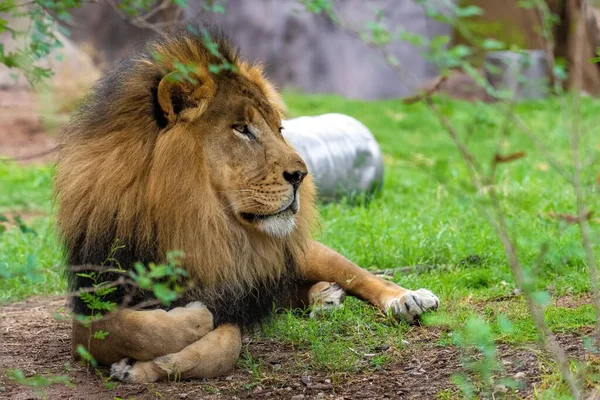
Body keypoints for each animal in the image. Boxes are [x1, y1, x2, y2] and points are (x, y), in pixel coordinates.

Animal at [55, 24, 440, 382]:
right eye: (242, 129)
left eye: (279, 128)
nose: (301, 175)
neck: (196, 223)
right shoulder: (93, 300)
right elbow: (127, 329)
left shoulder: (230, 302)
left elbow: (220, 347)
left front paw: (157, 356)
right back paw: (324, 296)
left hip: (306, 253)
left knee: (358, 274)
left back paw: (406, 299)